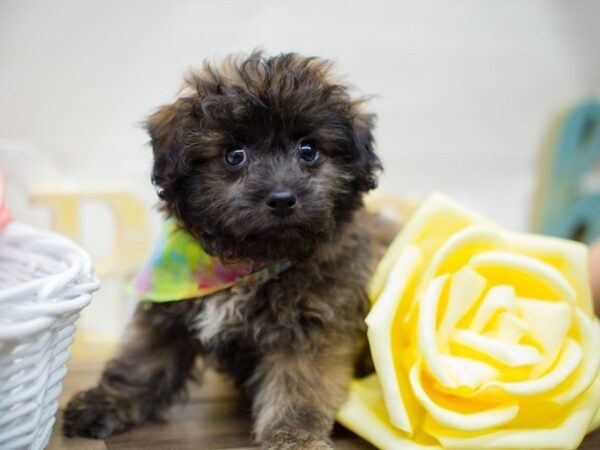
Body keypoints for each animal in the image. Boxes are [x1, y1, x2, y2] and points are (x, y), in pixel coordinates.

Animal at [63, 52, 396, 450]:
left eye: (309, 150)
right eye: (235, 155)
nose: (282, 199)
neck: (247, 260)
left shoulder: (310, 329)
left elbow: (299, 386)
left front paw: (294, 437)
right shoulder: (169, 315)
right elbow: (142, 361)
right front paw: (105, 404)